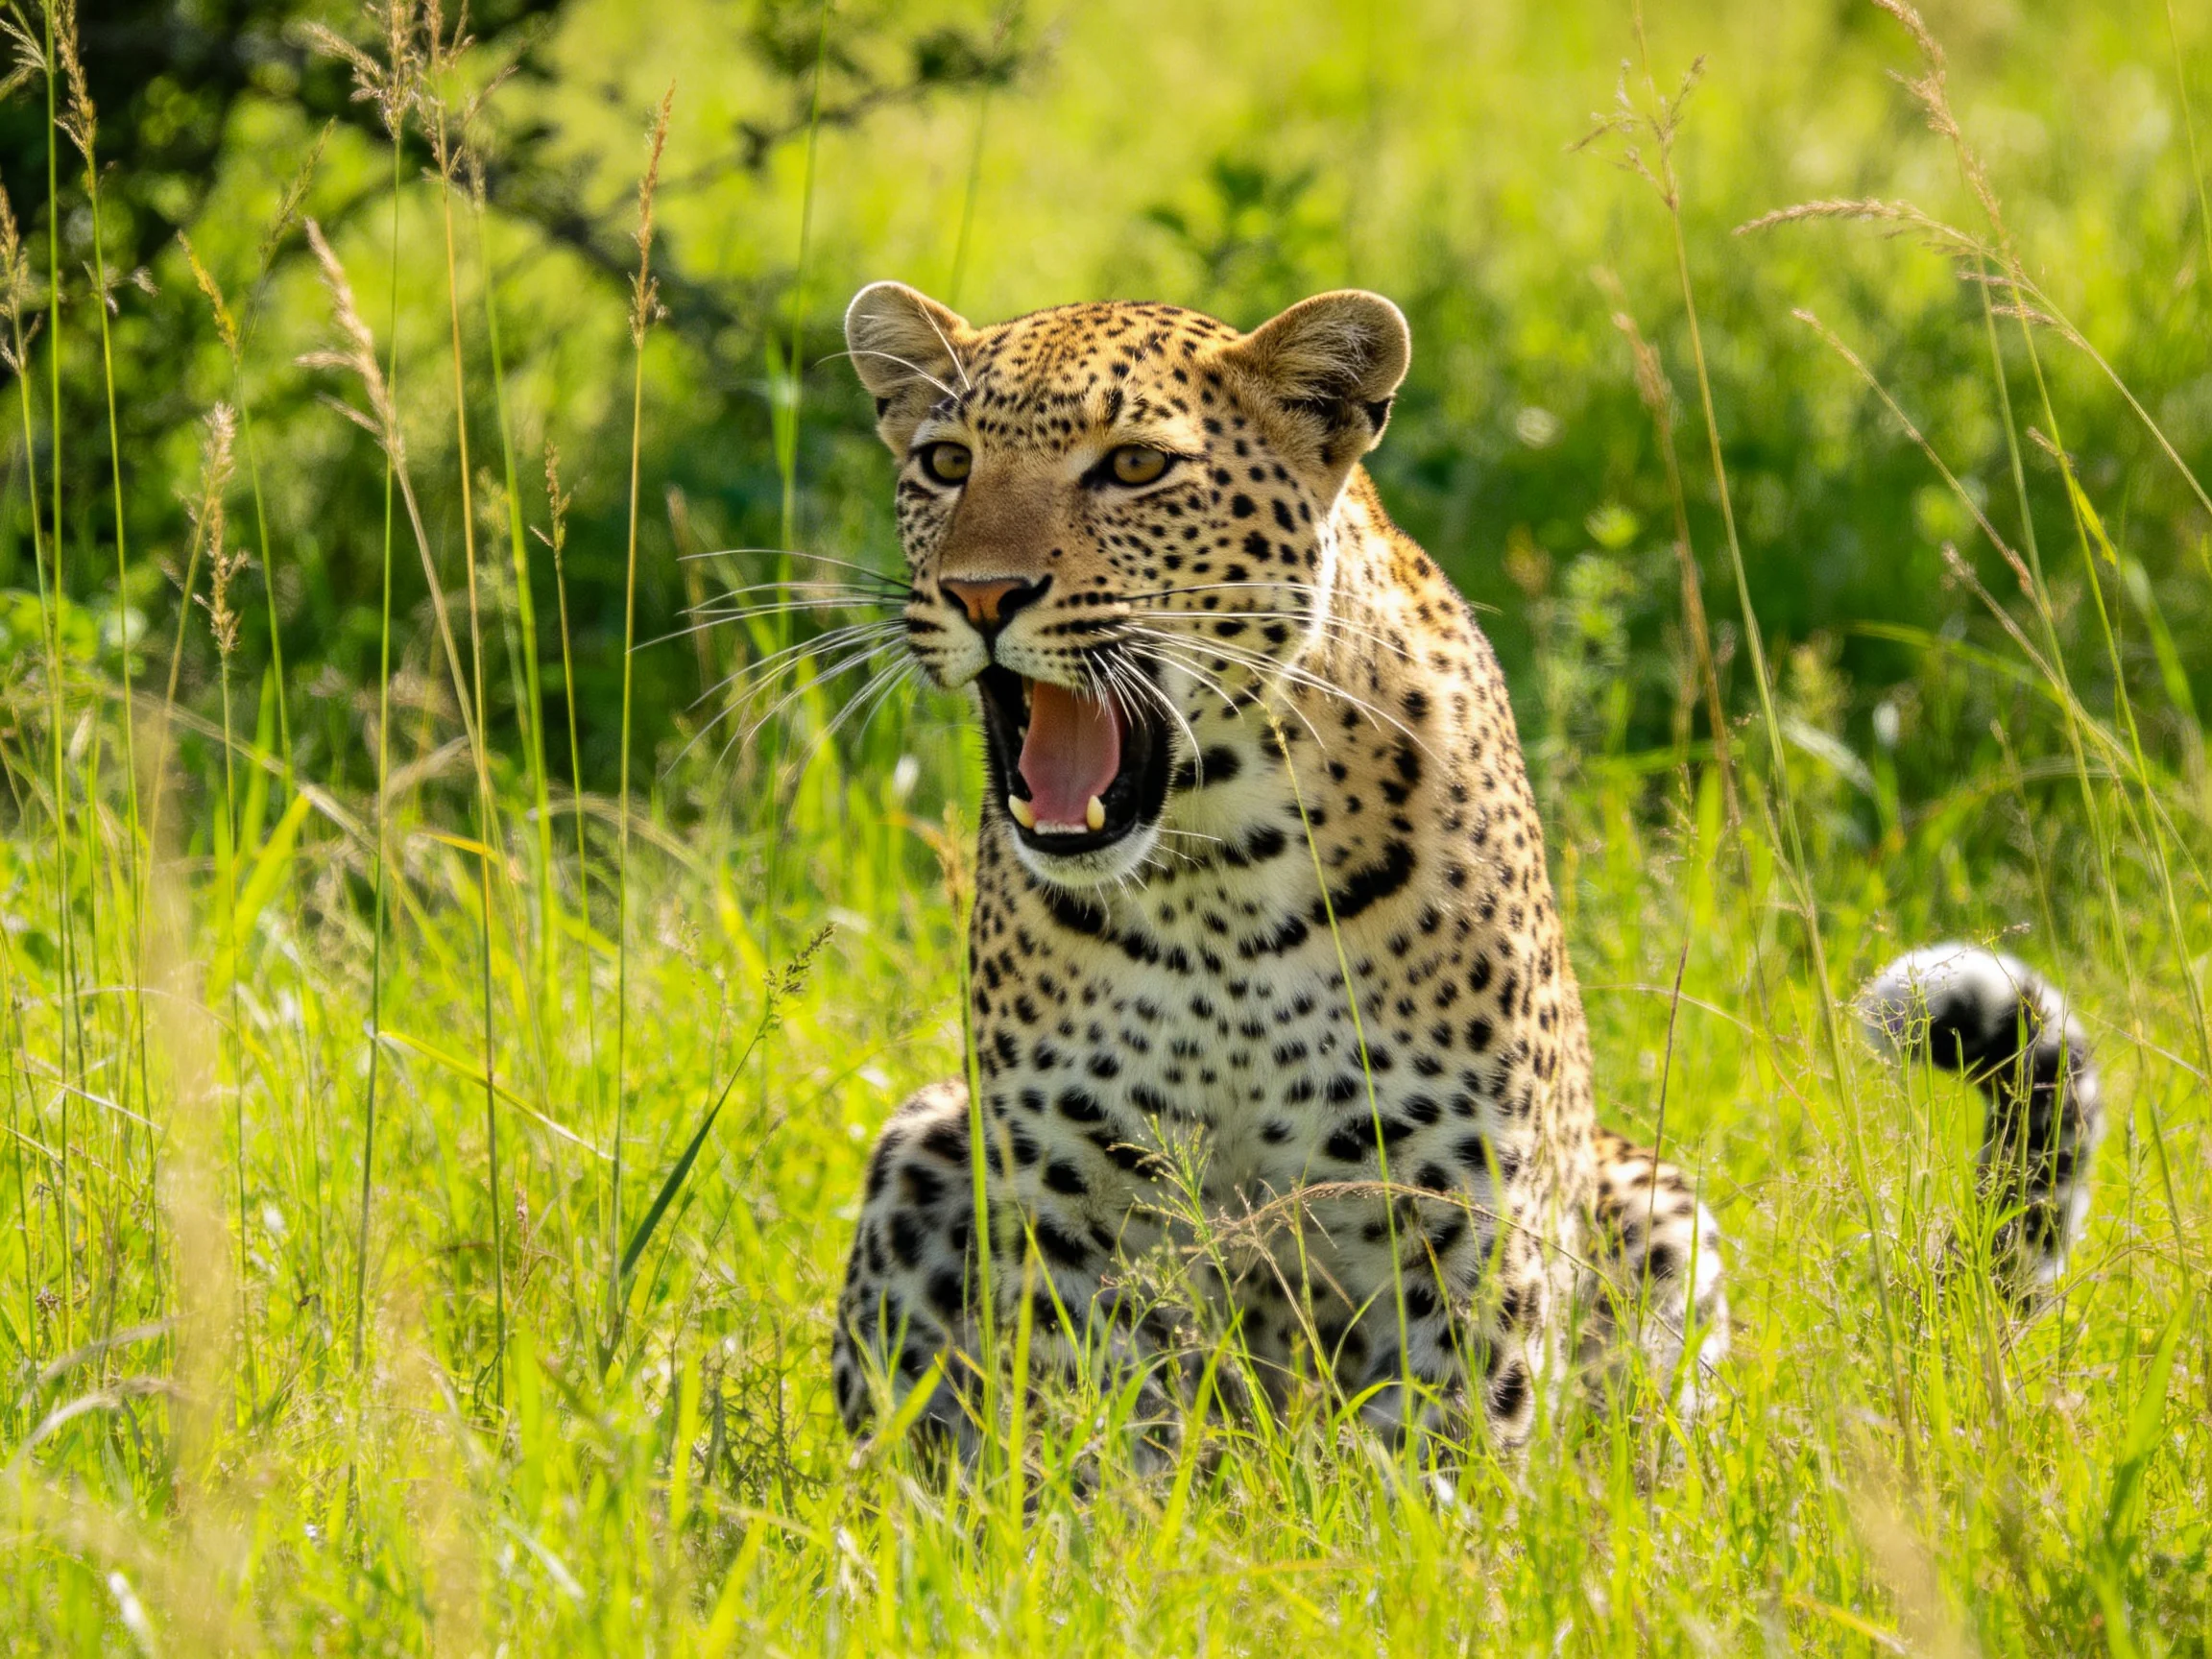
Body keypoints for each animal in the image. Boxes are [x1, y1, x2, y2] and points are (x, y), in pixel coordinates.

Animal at [825, 280, 2103, 1460]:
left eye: (1135, 465)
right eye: (945, 463)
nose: (982, 594)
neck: (1213, 880)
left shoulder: (1457, 1211)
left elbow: (1440, 1465)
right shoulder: (1073, 1214)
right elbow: (1095, 1463)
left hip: (1652, 1209)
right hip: (924, 1137)